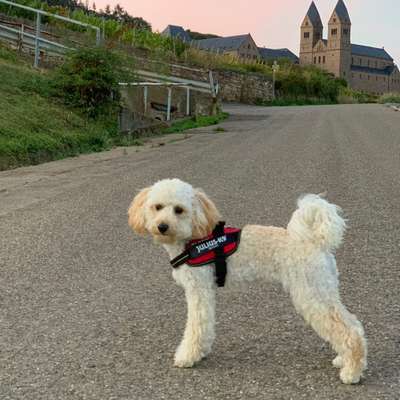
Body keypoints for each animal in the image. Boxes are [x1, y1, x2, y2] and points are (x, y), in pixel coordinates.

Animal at [128, 179, 366, 384]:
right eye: (157, 207)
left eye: (179, 209)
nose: (162, 226)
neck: (193, 239)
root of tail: (314, 241)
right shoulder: (206, 292)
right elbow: (205, 326)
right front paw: (201, 352)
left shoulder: (199, 291)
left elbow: (196, 326)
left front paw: (188, 357)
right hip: (324, 289)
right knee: (353, 323)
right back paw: (344, 360)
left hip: (310, 294)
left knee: (348, 331)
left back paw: (351, 372)